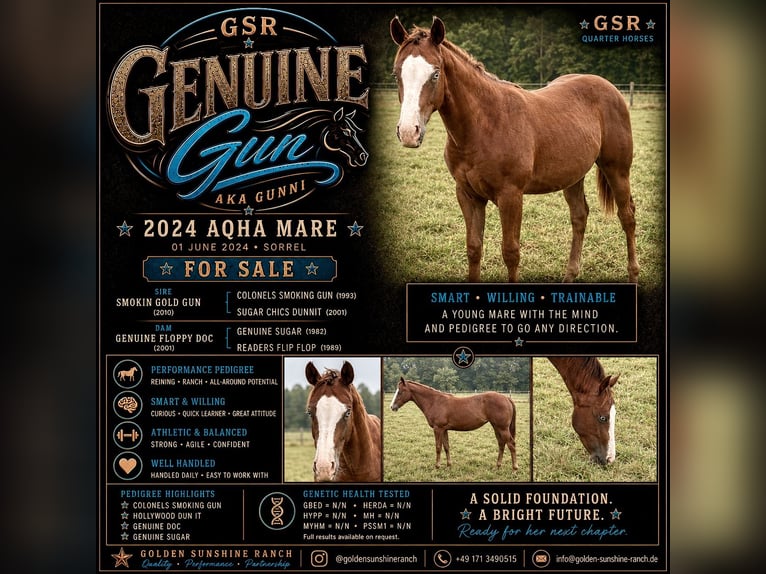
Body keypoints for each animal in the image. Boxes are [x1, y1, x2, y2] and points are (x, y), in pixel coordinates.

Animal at [390, 17, 639, 283]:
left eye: (436, 73)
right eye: (396, 74)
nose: (409, 132)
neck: (484, 126)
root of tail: (610, 88)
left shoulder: (510, 196)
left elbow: (510, 252)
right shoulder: (467, 194)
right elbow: (474, 248)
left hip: (617, 170)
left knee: (627, 216)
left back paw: (633, 274)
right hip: (573, 175)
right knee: (579, 216)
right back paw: (570, 275)